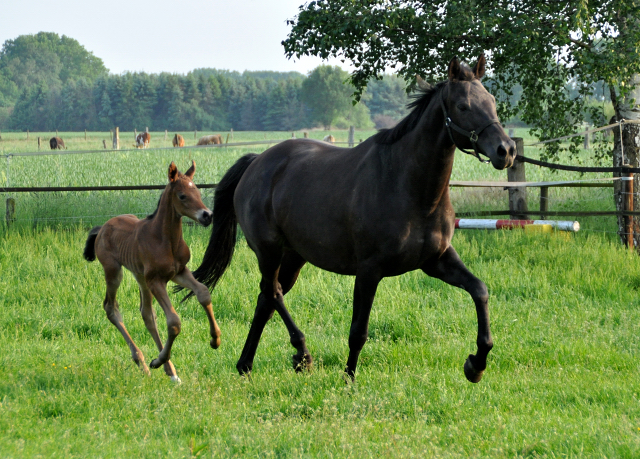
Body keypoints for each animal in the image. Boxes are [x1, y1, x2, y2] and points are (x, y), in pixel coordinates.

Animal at [85, 162, 220, 384]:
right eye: (182, 196)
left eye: (198, 192)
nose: (207, 216)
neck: (166, 240)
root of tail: (102, 227)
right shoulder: (157, 281)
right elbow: (174, 321)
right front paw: (157, 360)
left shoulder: (179, 272)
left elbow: (203, 292)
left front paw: (215, 339)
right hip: (114, 271)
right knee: (111, 307)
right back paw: (144, 362)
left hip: (140, 276)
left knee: (147, 313)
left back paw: (169, 371)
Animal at [189, 54, 516, 384]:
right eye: (463, 106)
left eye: (491, 101)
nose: (506, 150)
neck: (408, 187)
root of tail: (256, 162)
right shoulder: (369, 270)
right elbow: (358, 331)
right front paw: (348, 379)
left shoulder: (436, 260)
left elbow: (479, 290)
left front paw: (476, 364)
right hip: (269, 251)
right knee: (274, 293)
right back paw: (302, 354)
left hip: (294, 256)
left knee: (265, 300)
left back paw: (247, 364)